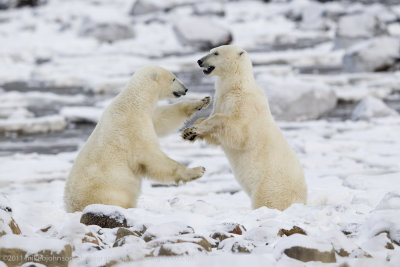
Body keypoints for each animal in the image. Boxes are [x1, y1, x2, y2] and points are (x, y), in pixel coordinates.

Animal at [64, 66, 211, 213]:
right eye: (173, 78)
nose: (185, 89)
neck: (134, 102)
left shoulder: (147, 116)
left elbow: (163, 119)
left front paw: (202, 101)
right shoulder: (132, 127)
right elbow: (150, 155)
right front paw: (198, 170)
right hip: (108, 192)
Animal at [183, 45, 308, 211]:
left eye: (216, 53)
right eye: (210, 51)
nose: (199, 61)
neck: (236, 85)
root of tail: (302, 201)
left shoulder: (245, 104)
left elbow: (238, 132)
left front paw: (194, 130)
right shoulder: (221, 101)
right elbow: (216, 135)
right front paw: (189, 132)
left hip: (271, 186)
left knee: (267, 200)